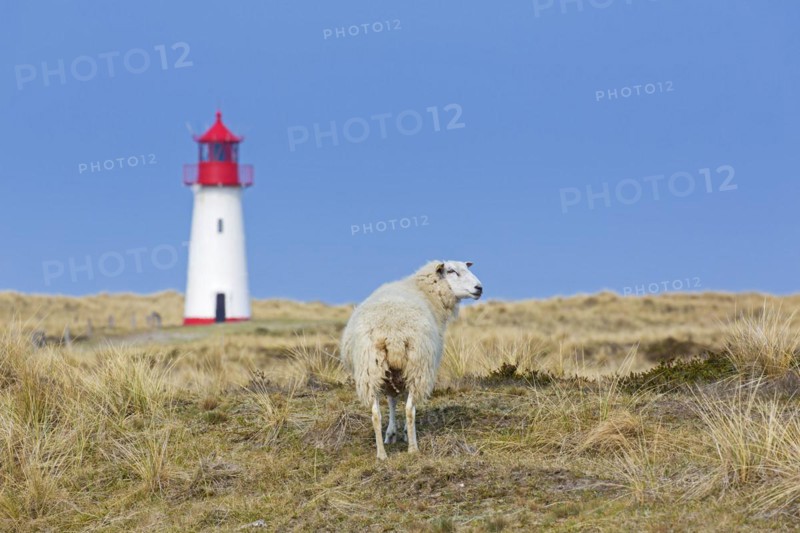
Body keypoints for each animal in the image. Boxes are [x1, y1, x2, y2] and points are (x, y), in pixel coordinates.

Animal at [340, 260, 483, 460]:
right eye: (452, 271)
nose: (479, 288)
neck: (425, 291)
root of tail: (393, 331)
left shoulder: (391, 373)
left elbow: (391, 401)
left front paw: (391, 433)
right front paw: (403, 434)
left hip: (370, 368)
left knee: (375, 413)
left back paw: (381, 454)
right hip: (418, 365)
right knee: (410, 409)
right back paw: (413, 448)